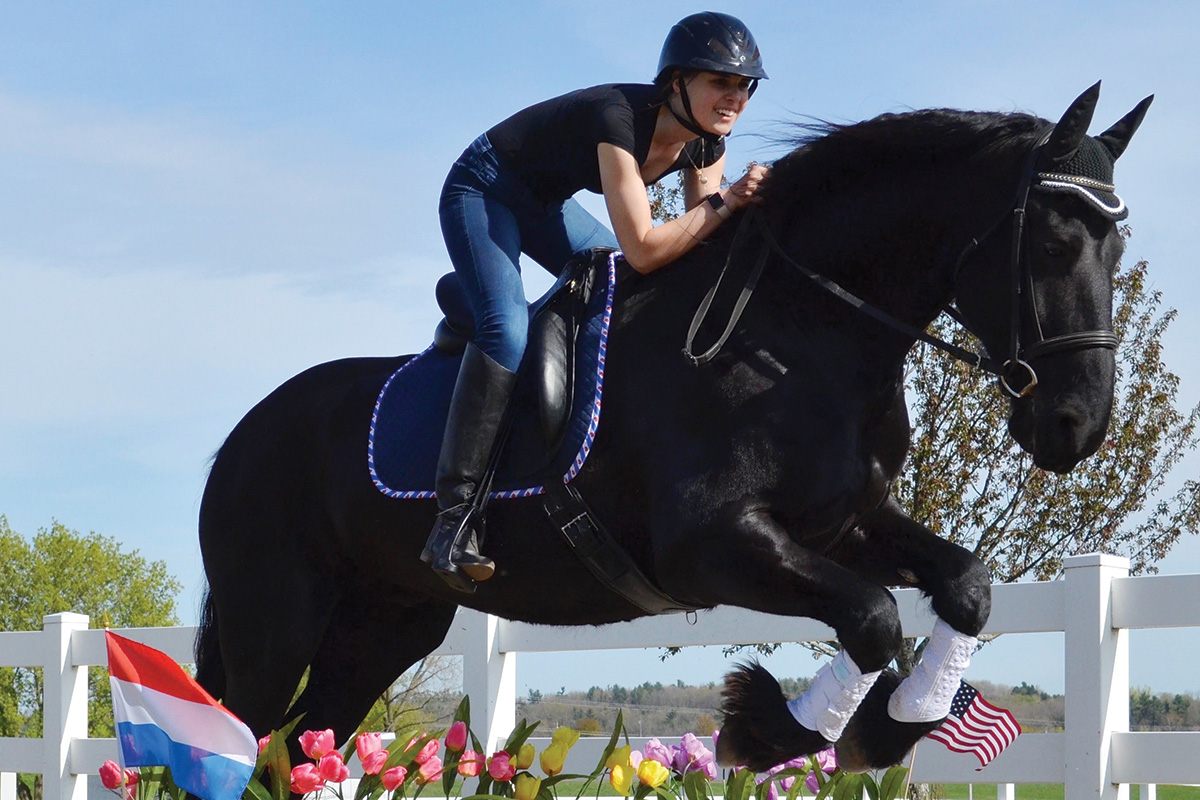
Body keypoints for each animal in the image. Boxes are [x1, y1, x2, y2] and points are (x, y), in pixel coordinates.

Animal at [196, 84, 1152, 772]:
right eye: (1056, 246)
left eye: (1119, 249)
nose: (1076, 426)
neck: (800, 330)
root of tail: (239, 439)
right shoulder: (711, 545)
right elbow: (875, 616)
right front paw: (778, 731)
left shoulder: (840, 525)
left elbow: (965, 586)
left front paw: (892, 722)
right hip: (273, 623)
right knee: (242, 734)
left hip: (385, 624)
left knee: (299, 744)